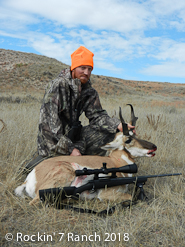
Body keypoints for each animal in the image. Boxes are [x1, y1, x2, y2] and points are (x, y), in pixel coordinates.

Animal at [14, 104, 156, 205]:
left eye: (136, 135)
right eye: (128, 140)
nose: (154, 147)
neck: (115, 162)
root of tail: (31, 176)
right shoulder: (106, 194)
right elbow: (130, 196)